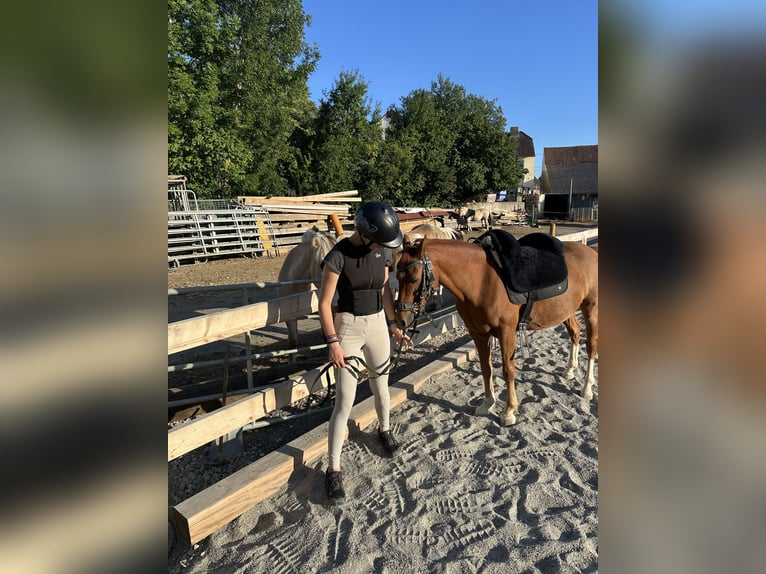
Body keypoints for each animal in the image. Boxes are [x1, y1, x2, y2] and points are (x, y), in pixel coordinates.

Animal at [394, 234, 598, 426]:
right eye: (396, 278)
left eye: (413, 278)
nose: (401, 320)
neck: (481, 281)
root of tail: (591, 252)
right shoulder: (478, 333)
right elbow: (486, 368)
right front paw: (487, 404)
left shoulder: (506, 332)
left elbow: (508, 370)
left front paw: (509, 412)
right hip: (566, 310)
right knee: (575, 332)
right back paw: (570, 370)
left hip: (590, 310)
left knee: (591, 346)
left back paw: (587, 388)